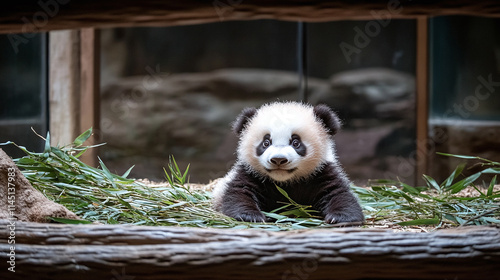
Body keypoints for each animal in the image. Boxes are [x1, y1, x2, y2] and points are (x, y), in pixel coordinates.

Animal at [212, 101, 364, 224]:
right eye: (266, 142)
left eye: (296, 142)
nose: (278, 159)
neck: (285, 182)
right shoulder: (250, 173)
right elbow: (239, 193)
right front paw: (250, 216)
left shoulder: (321, 172)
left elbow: (338, 193)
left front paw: (340, 217)